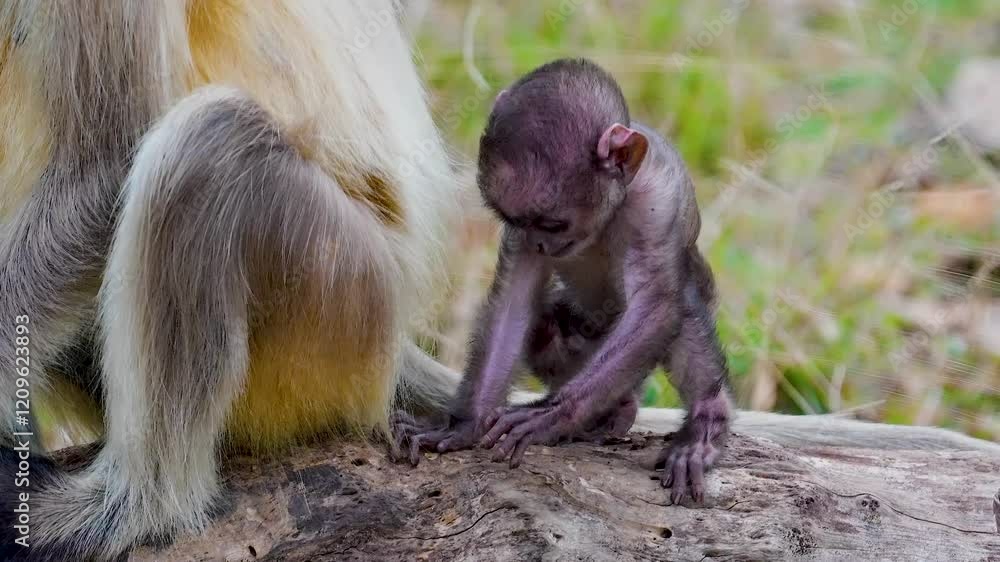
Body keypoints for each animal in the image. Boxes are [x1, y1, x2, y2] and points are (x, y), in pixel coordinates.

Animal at [398, 58, 731, 504]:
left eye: (554, 223)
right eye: (519, 222)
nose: (540, 242)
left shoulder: (660, 199)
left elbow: (657, 304)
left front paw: (551, 415)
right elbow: (515, 301)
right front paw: (463, 425)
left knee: (681, 305)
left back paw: (705, 422)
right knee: (545, 327)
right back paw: (614, 411)